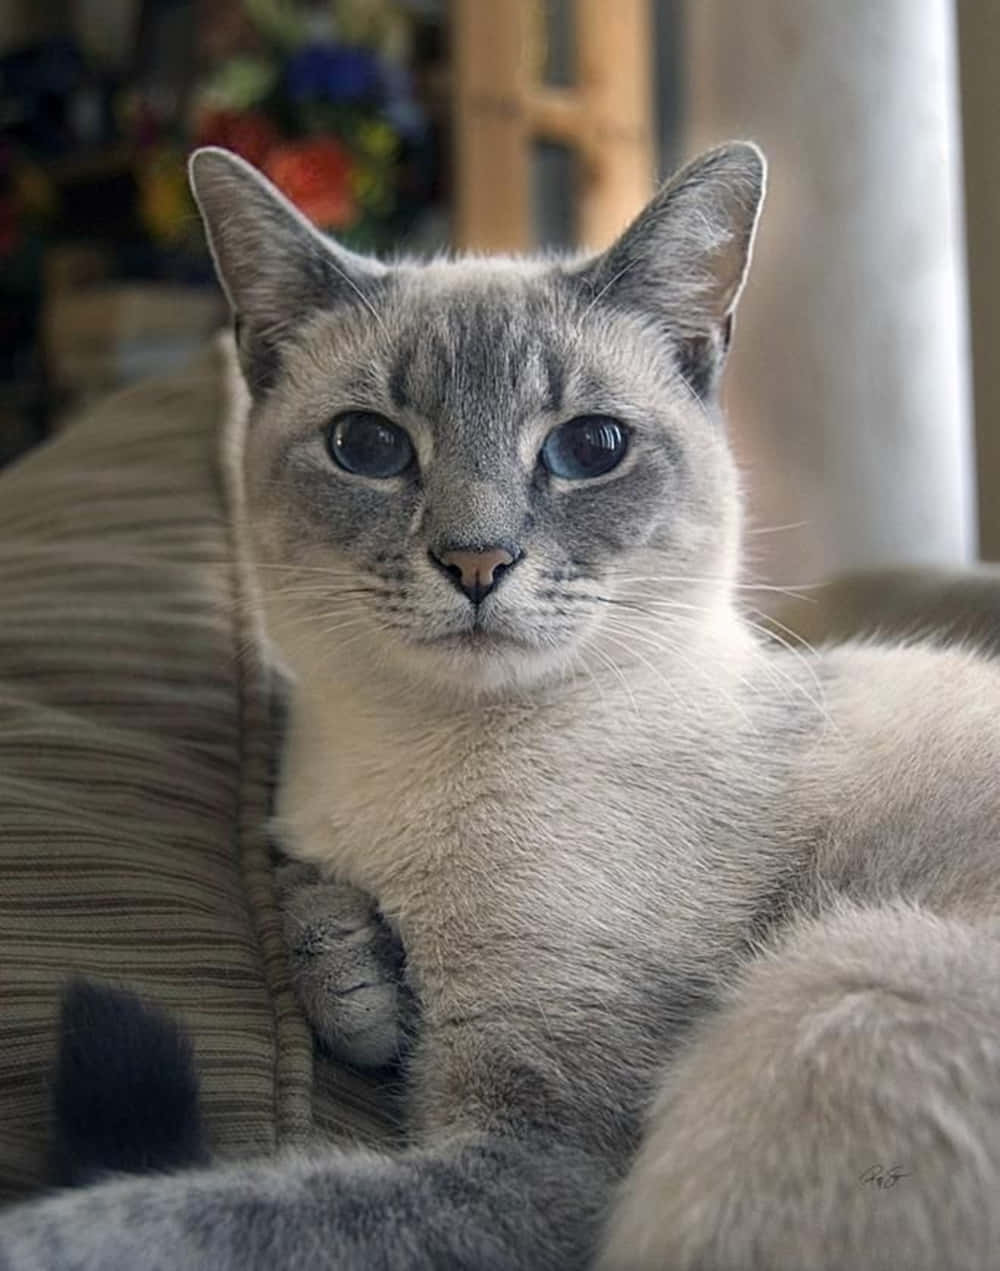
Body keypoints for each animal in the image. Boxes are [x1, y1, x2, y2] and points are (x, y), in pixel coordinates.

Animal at [1, 139, 1000, 1271]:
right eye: (367, 446)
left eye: (590, 447)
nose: (476, 561)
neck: (417, 757)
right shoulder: (309, 841)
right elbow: (313, 903)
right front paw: (360, 983)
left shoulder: (542, 1155)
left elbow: (181, 1212)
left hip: (838, 978)